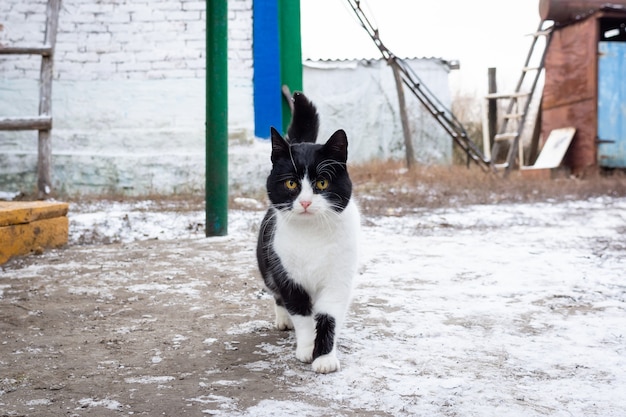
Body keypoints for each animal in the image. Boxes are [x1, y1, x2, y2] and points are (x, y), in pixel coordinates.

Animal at [255, 92, 360, 372]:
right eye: (291, 183)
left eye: (322, 183)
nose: (304, 202)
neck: (312, 235)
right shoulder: (288, 276)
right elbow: (301, 314)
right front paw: (305, 349)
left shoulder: (338, 279)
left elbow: (328, 316)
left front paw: (324, 358)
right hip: (267, 262)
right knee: (277, 294)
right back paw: (283, 320)